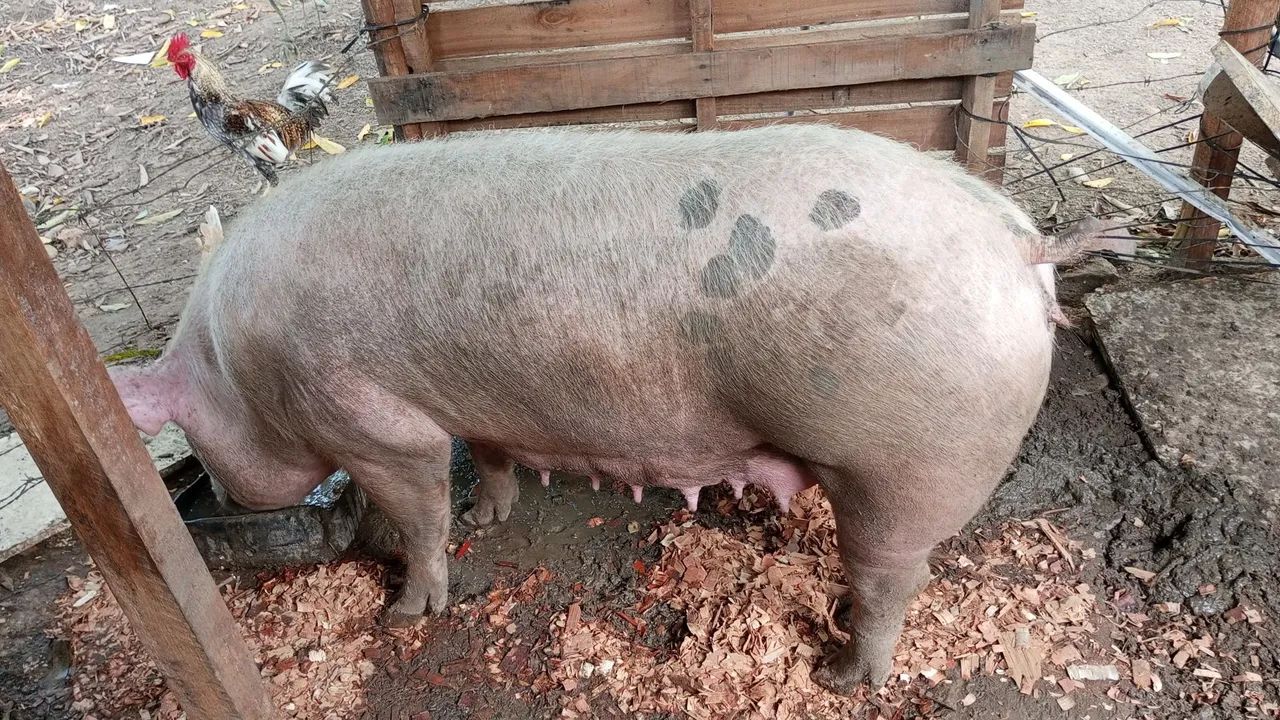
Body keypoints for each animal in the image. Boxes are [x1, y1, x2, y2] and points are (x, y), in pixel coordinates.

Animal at [111, 123, 1079, 693]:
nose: (220, 499)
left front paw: (405, 614)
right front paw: (491, 517)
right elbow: (489, 455)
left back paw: (844, 678)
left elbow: (419, 511)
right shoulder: (480, 406)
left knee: (890, 578)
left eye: (191, 430)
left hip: (905, 465)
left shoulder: (371, 423)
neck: (235, 364)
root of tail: (1018, 240)